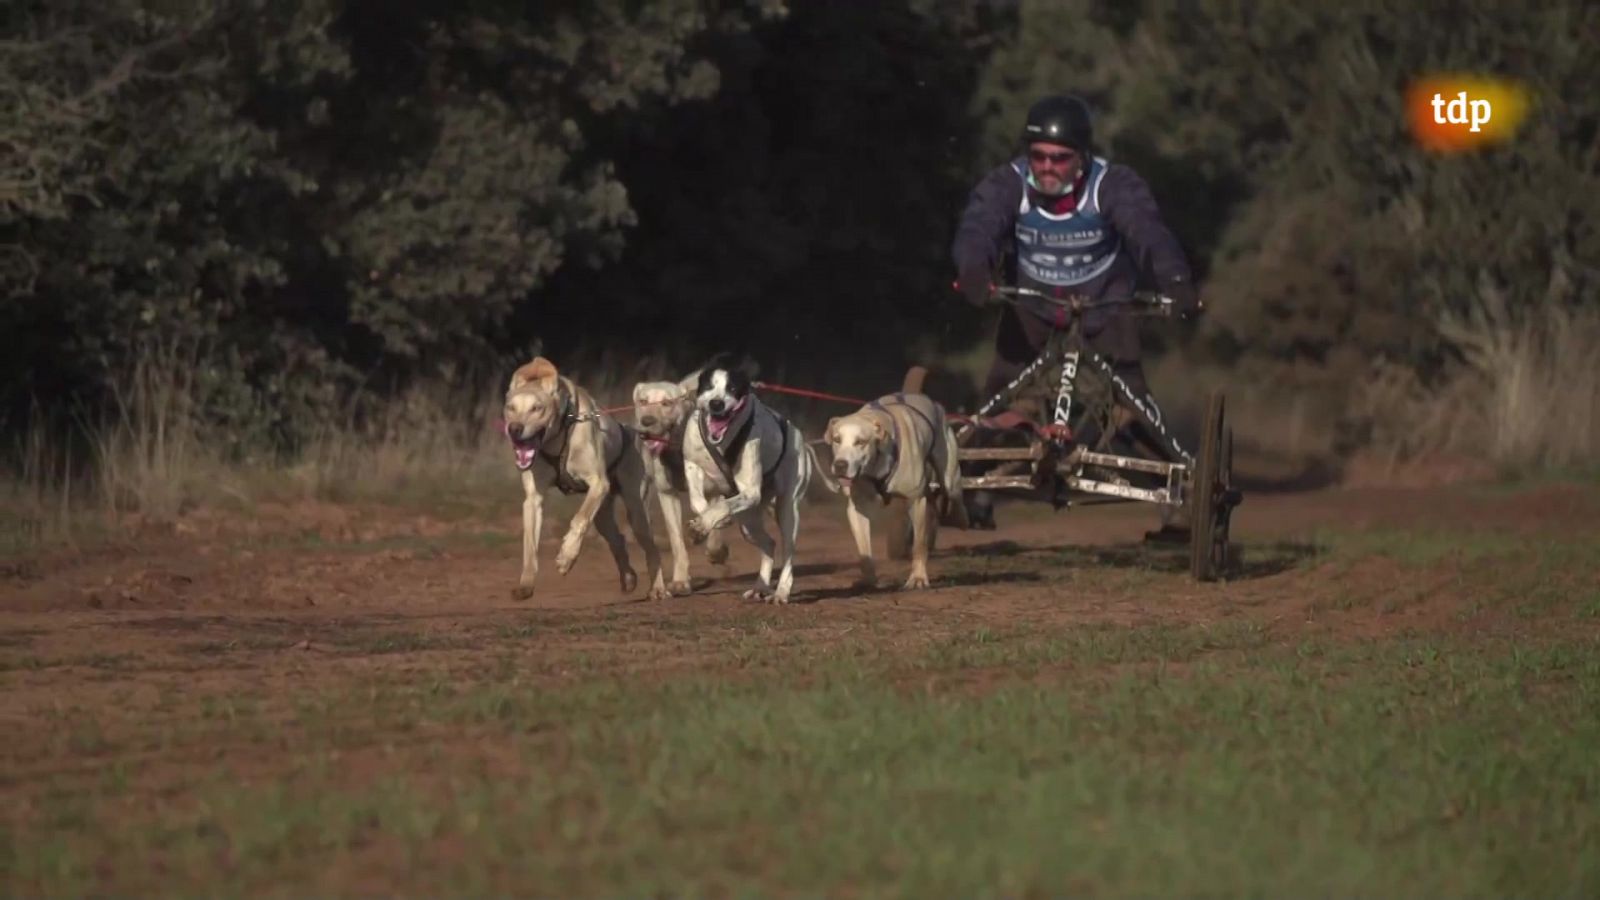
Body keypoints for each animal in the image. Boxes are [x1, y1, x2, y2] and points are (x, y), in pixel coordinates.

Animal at [505, 353, 668, 598]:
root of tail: (632, 431)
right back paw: (628, 577)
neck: (559, 436)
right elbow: (530, 546)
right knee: (617, 539)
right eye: (510, 408)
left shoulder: (598, 484)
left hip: (637, 511)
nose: (514, 429)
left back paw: (658, 588)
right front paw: (526, 583)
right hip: (603, 517)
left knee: (651, 548)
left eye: (537, 408)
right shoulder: (534, 499)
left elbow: (579, 519)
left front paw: (566, 556)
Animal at [678, 352, 825, 602]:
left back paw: (781, 592)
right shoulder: (692, 465)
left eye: (733, 388)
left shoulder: (750, 491)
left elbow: (721, 506)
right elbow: (699, 502)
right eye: (709, 386)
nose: (716, 403)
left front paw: (707, 523)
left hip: (787, 509)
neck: (724, 443)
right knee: (769, 543)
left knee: (787, 551)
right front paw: (706, 526)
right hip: (749, 522)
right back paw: (760, 586)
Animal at [825, 387, 960, 586]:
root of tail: (934, 403)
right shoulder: (857, 508)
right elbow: (864, 549)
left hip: (950, 479)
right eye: (837, 439)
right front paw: (869, 580)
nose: (840, 465)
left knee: (953, 495)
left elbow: (918, 546)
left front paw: (918, 577)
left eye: (860, 442)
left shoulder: (915, 500)